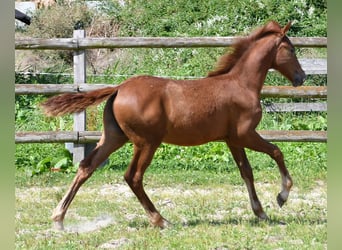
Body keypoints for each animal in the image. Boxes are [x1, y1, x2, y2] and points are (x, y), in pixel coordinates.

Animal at [41, 20, 306, 229]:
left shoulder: (232, 139)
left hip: (114, 137)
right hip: (146, 142)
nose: (301, 77)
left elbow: (246, 172)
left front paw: (260, 212)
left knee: (86, 166)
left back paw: (58, 218)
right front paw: (282, 196)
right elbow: (276, 151)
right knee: (133, 176)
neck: (241, 84)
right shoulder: (245, 134)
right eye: (291, 49)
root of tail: (118, 89)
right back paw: (160, 220)